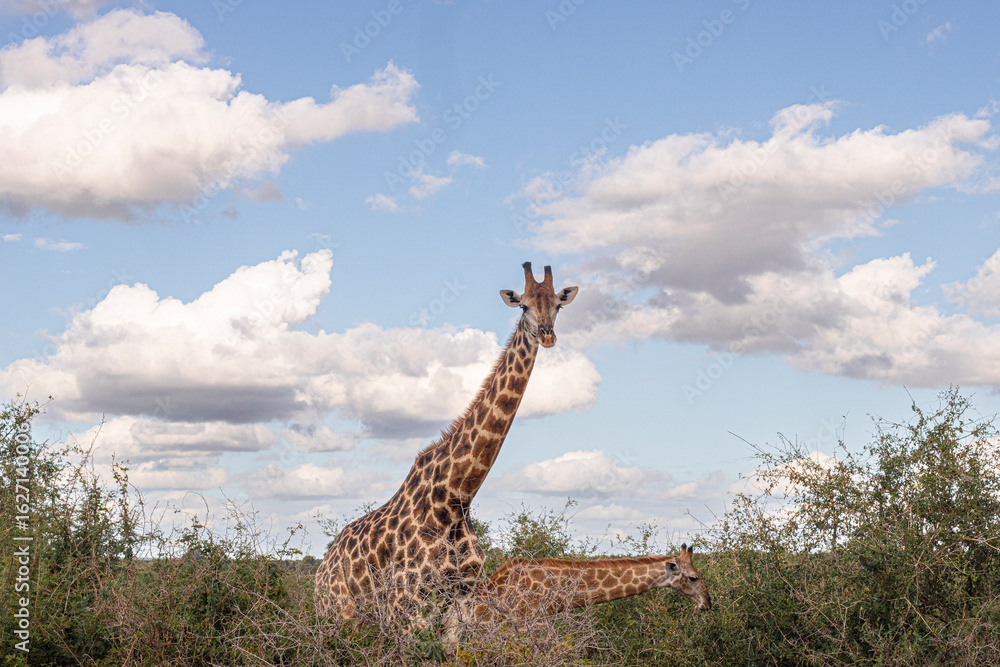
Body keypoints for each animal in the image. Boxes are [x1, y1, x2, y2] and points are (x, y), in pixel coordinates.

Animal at [314, 262, 579, 624]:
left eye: (558, 305)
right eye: (523, 305)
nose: (547, 334)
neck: (456, 497)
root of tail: (321, 570)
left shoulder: (461, 601)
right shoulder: (407, 602)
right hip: (338, 611)